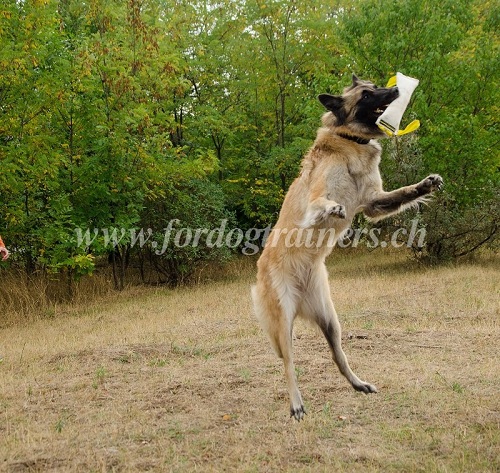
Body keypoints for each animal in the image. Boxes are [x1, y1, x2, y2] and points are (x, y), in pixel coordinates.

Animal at [252, 75, 444, 418]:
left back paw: (359, 384)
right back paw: (296, 403)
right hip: (283, 321)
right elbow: (321, 205)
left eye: (377, 85)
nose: (396, 89)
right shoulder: (316, 197)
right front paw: (332, 209)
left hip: (331, 320)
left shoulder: (374, 202)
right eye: (366, 94)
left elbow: (404, 193)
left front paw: (425, 184)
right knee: (288, 364)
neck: (351, 140)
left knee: (337, 356)